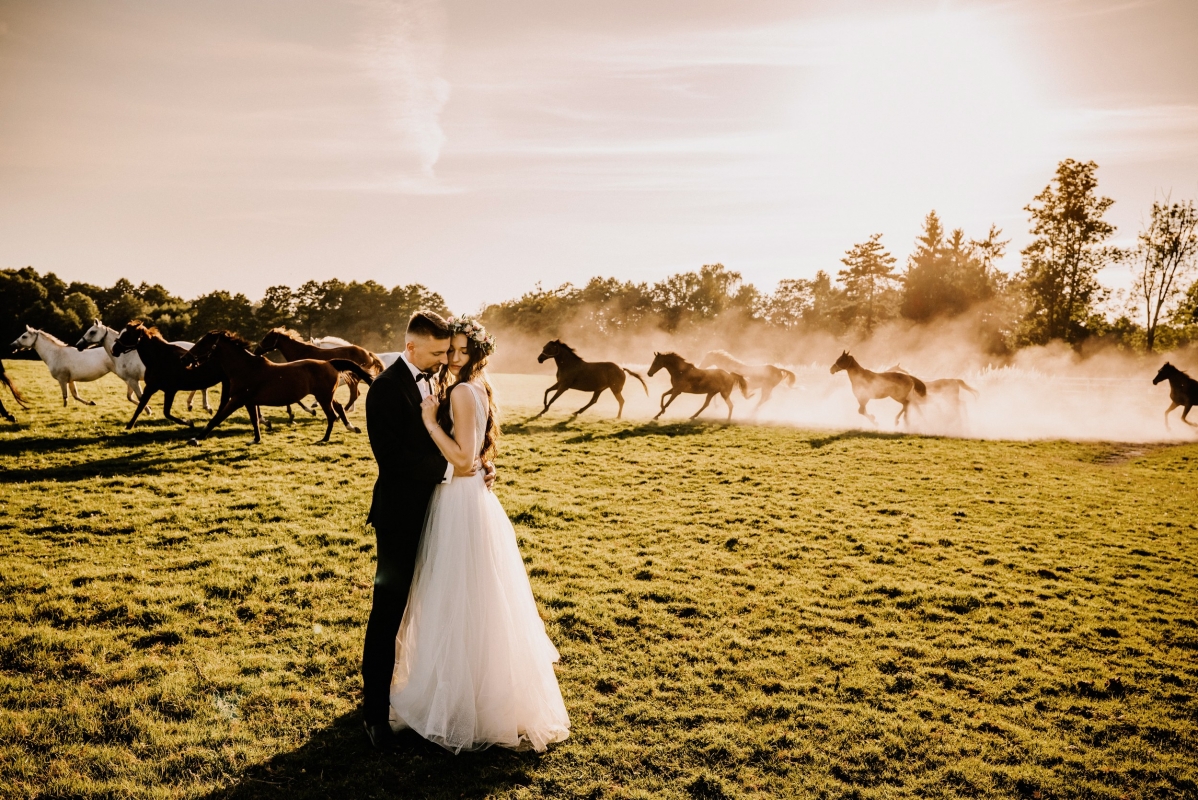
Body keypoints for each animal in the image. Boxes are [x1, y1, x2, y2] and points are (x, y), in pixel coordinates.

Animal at [76, 320, 213, 411]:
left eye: (92, 332)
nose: (78, 345)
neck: (126, 356)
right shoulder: (131, 380)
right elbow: (130, 397)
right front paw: (148, 408)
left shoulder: (133, 380)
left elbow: (139, 396)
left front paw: (148, 410)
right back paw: (191, 404)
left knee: (202, 387)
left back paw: (206, 406)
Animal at [182, 330, 373, 443]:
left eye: (203, 343)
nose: (184, 358)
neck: (245, 367)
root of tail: (330, 362)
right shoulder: (249, 401)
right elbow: (254, 420)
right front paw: (256, 439)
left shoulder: (237, 399)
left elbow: (217, 418)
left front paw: (196, 438)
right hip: (327, 396)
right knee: (339, 407)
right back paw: (350, 427)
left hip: (323, 397)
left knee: (332, 415)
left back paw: (325, 438)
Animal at [252, 325, 383, 411]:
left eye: (266, 338)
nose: (256, 351)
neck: (301, 352)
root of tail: (368, 353)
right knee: (355, 394)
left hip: (352, 378)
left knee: (354, 394)